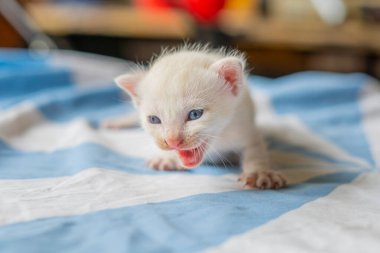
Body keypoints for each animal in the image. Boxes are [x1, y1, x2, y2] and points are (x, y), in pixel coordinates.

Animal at [105, 45, 286, 190]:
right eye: (154, 120)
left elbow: (255, 150)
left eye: (195, 114)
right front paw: (167, 158)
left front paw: (260, 173)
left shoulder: (244, 123)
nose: (172, 141)